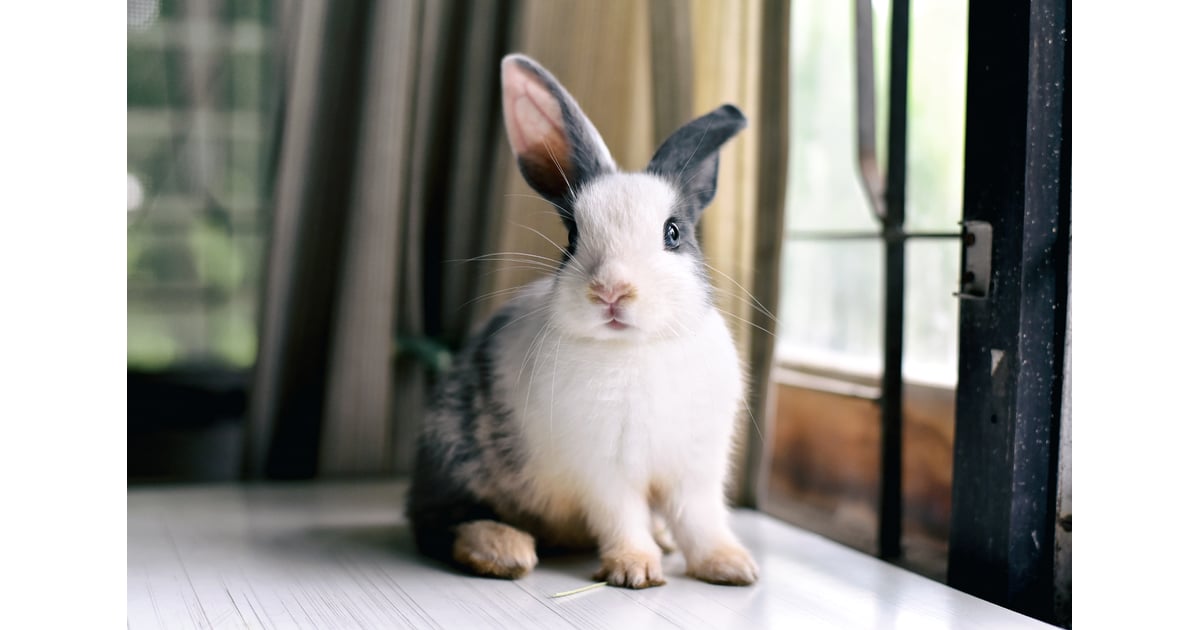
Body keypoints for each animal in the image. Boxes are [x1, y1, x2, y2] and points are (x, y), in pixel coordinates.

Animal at [406, 53, 757, 589]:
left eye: (673, 233)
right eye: (571, 237)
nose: (611, 290)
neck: (636, 349)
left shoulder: (695, 469)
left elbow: (701, 520)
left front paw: (732, 567)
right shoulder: (604, 471)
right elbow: (622, 517)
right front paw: (635, 570)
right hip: (453, 454)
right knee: (437, 522)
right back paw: (503, 549)